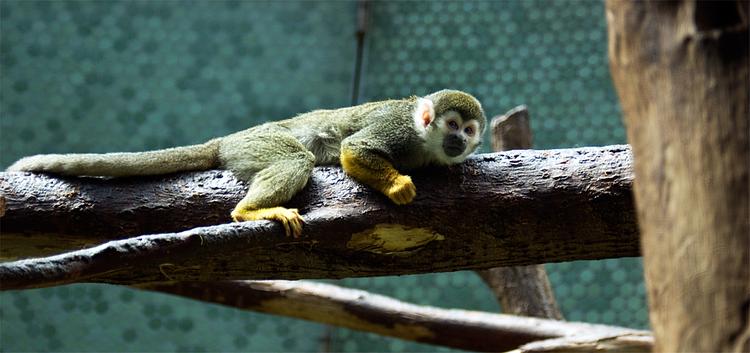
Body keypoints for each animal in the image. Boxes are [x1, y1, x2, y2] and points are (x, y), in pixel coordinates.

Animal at [10, 89, 488, 236]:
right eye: (451, 124)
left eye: (468, 131)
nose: (457, 141)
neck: (424, 141)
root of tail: (229, 139)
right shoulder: (399, 128)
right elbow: (355, 149)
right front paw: (397, 186)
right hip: (259, 142)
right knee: (296, 156)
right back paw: (249, 211)